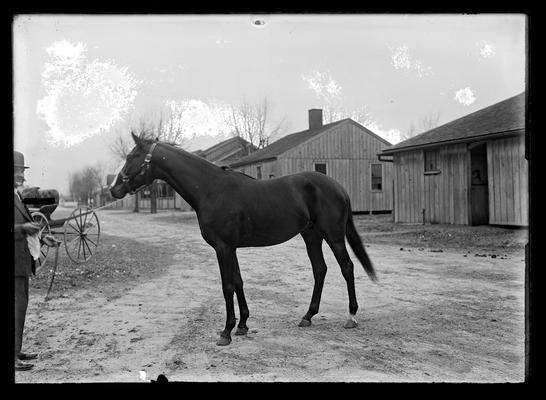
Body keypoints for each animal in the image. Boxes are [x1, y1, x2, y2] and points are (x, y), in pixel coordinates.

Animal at [109, 133, 376, 346]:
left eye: (131, 156)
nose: (114, 190)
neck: (212, 189)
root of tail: (338, 187)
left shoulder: (223, 248)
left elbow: (227, 286)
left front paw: (226, 332)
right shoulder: (231, 248)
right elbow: (238, 282)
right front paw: (243, 325)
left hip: (333, 235)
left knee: (347, 267)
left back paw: (351, 317)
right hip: (311, 236)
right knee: (320, 270)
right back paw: (307, 316)